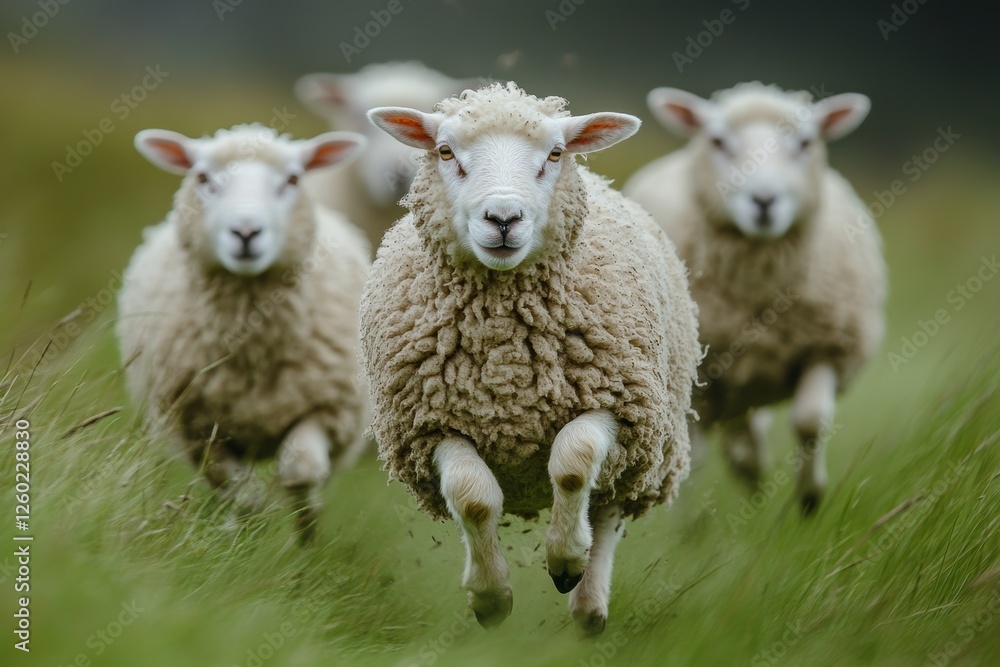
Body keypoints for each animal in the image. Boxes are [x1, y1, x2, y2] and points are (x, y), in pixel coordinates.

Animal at [117, 123, 371, 541]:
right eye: (203, 178)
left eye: (292, 179)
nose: (246, 231)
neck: (253, 346)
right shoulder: (194, 427)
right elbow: (239, 489)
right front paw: (247, 528)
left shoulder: (331, 409)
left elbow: (300, 469)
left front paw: (306, 532)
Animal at [361, 82, 701, 635]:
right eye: (445, 151)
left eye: (555, 154)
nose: (503, 219)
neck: (507, 356)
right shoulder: (429, 424)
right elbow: (472, 496)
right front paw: (490, 597)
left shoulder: (618, 401)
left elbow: (573, 462)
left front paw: (565, 560)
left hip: (646, 445)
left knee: (607, 507)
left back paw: (588, 603)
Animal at [624, 82, 887, 514]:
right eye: (717, 141)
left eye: (805, 142)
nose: (764, 200)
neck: (757, 294)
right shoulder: (703, 371)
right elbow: (693, 455)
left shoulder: (829, 345)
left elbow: (810, 418)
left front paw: (810, 498)